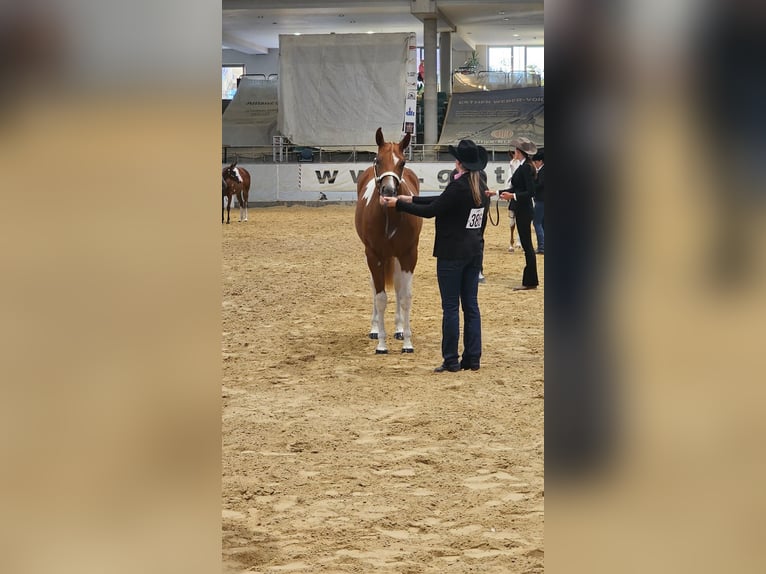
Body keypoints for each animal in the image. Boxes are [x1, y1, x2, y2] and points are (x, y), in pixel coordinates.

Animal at [354, 127, 422, 354]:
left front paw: (407, 342)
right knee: (374, 287)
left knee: (399, 288)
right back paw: (375, 329)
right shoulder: (373, 255)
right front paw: (382, 344)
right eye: (378, 160)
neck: (389, 216)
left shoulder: (409, 254)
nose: (389, 191)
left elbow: (405, 296)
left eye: (402, 162)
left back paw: (399, 329)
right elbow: (380, 296)